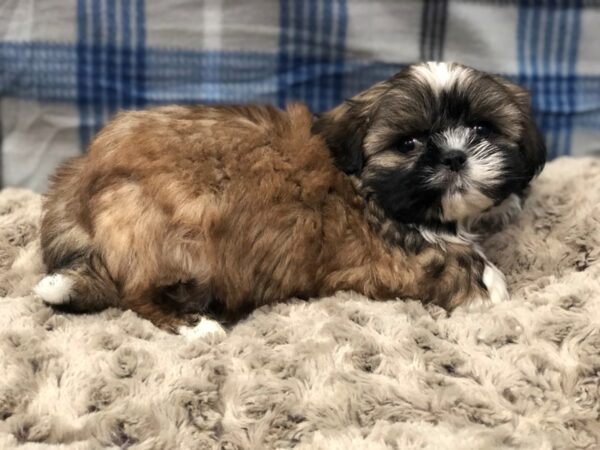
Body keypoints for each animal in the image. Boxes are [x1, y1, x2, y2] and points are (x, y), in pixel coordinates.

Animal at [35, 61, 548, 336]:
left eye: (481, 128)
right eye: (409, 143)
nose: (455, 156)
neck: (365, 187)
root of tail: (80, 180)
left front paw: (506, 206)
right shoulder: (389, 260)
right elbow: (458, 261)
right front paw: (492, 287)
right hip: (175, 235)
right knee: (136, 293)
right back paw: (194, 327)